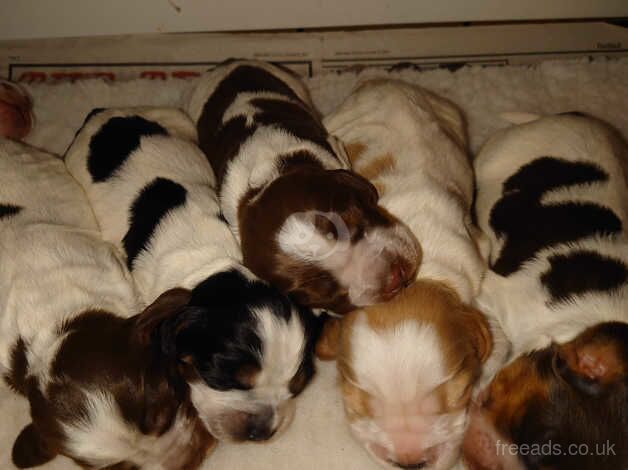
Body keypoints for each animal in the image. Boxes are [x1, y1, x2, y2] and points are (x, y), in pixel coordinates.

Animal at [186, 59, 422, 316]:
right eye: (324, 292)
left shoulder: (333, 147)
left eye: (354, 222)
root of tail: (228, 62)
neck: (270, 173)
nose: (396, 277)